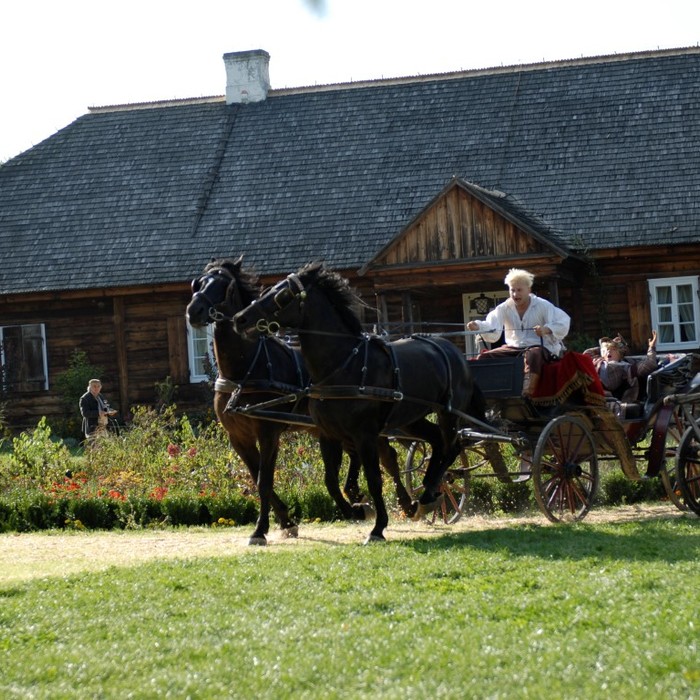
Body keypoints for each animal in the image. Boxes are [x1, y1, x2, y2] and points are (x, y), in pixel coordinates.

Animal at [189, 258, 412, 548]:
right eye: (199, 283)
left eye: (223, 285)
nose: (194, 310)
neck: (243, 371)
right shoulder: (238, 437)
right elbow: (259, 478)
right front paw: (287, 522)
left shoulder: (268, 432)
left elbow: (263, 481)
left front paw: (260, 530)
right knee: (357, 458)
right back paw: (357, 496)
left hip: (368, 429)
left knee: (388, 458)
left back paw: (406, 503)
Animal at [232, 262, 484, 540]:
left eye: (282, 294)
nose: (240, 318)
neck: (342, 366)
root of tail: (453, 351)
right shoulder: (328, 434)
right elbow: (331, 480)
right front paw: (356, 510)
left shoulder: (365, 434)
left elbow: (374, 479)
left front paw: (377, 527)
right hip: (410, 419)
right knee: (438, 441)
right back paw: (427, 493)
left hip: (448, 413)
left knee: (452, 447)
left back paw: (429, 493)